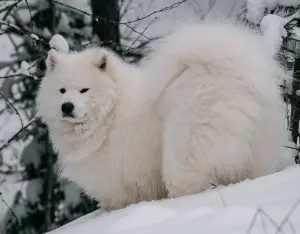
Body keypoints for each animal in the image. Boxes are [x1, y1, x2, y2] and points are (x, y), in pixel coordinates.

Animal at [36, 20, 294, 210]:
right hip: (258, 148)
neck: (111, 110)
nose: (66, 107)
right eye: (61, 90)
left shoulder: (114, 181)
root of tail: (226, 73)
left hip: (183, 152)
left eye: (84, 90)